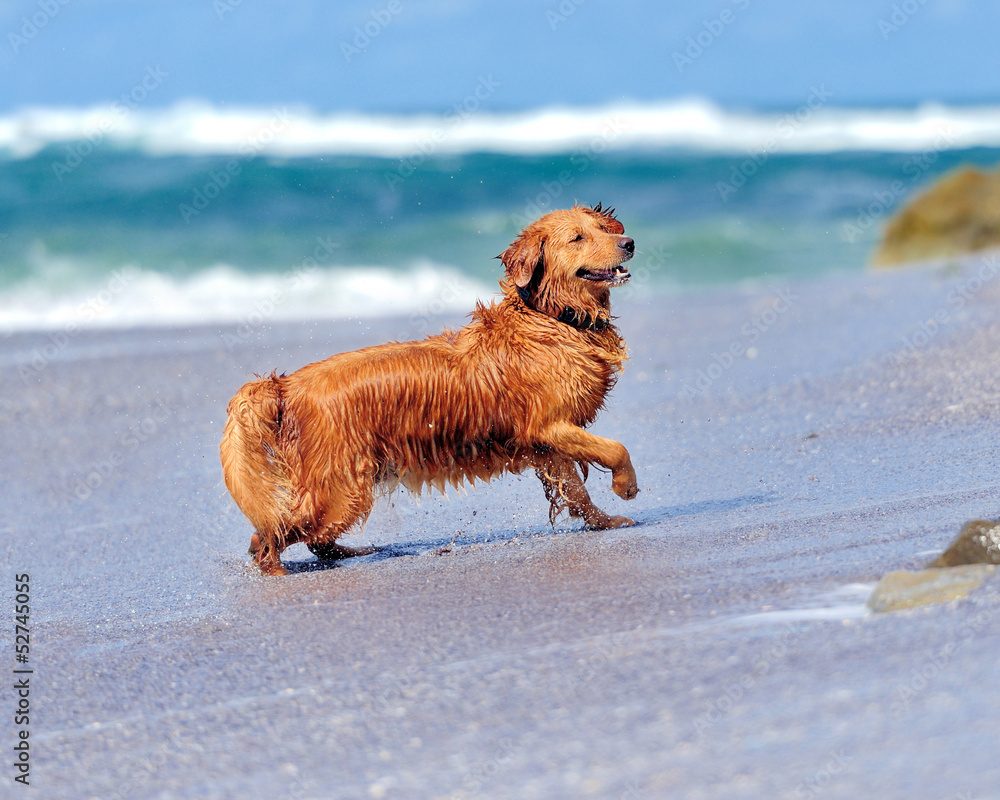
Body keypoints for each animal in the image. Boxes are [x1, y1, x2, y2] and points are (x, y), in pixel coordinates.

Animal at [222, 203, 636, 572]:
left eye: (604, 227)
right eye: (578, 237)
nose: (629, 241)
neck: (553, 319)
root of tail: (286, 385)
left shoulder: (551, 444)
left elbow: (576, 490)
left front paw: (605, 521)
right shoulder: (547, 426)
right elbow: (615, 448)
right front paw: (625, 486)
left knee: (301, 536)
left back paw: (358, 552)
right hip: (341, 488)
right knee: (274, 534)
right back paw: (279, 571)